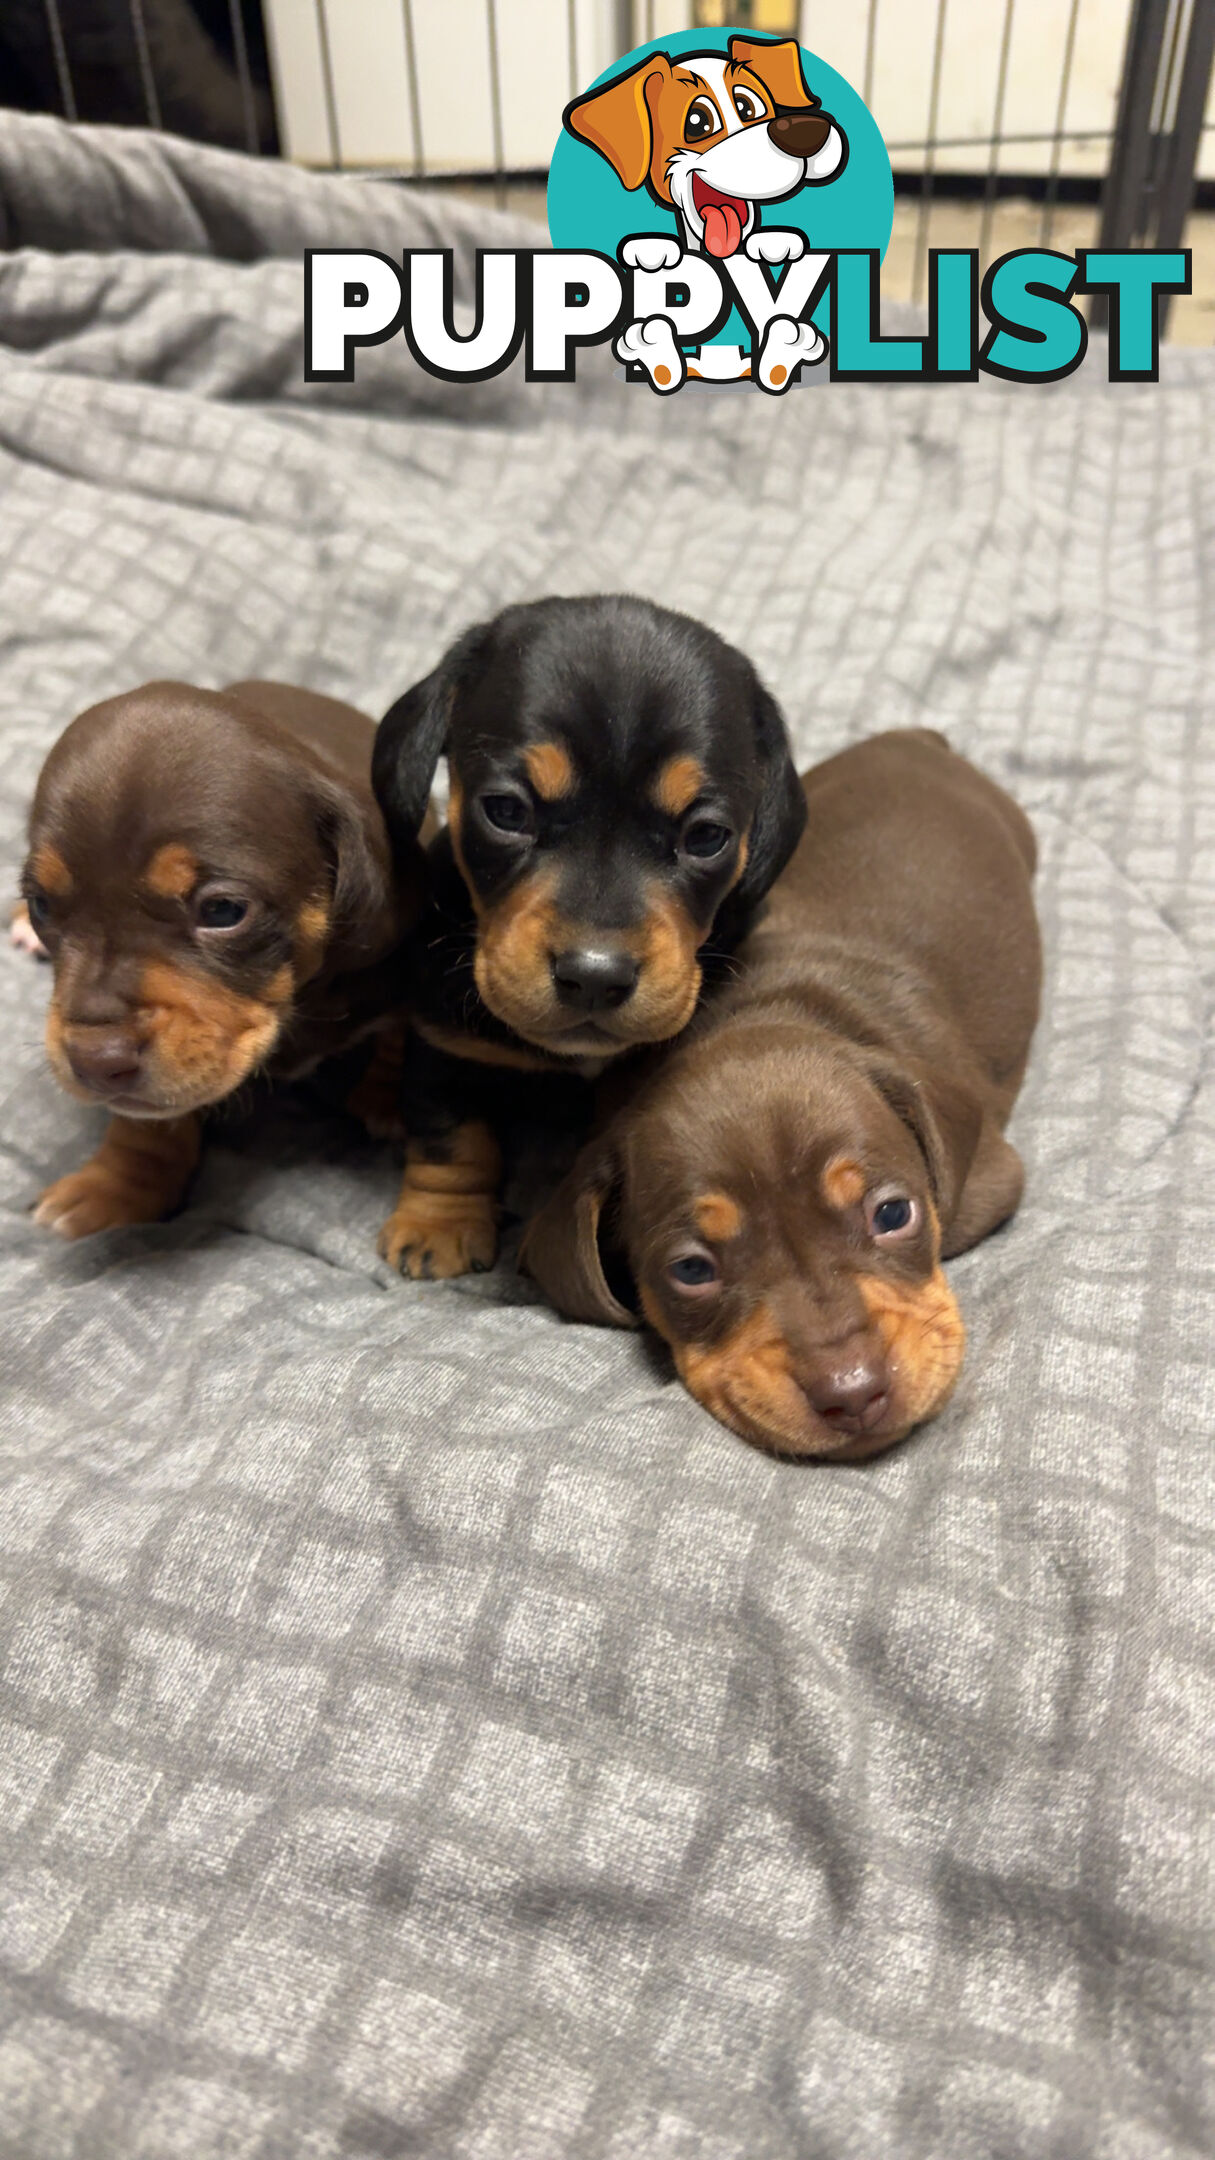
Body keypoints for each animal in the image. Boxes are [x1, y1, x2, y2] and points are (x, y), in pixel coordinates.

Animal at [15, 682, 415, 1244]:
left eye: (223, 911)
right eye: (42, 904)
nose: (95, 1062)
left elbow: (402, 1032)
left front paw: (391, 1095)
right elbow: (149, 1118)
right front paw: (117, 1186)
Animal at [369, 591, 804, 1278]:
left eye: (707, 836)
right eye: (506, 811)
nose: (596, 977)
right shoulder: (444, 1039)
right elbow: (451, 1137)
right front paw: (437, 1227)